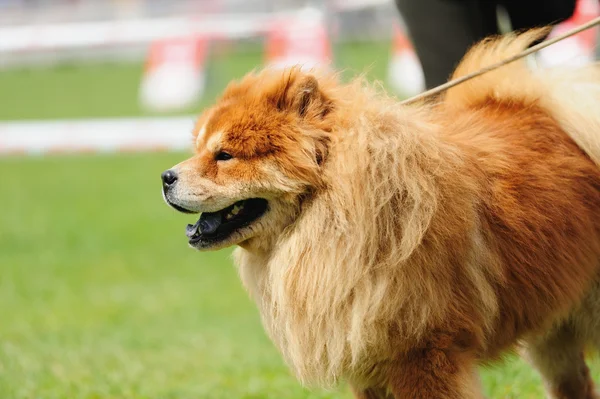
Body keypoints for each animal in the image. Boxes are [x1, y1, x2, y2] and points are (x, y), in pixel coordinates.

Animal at [162, 29, 600, 398]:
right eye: (198, 148)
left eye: (224, 155)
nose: (166, 177)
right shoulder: (363, 357)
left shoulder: (423, 351)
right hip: (552, 332)